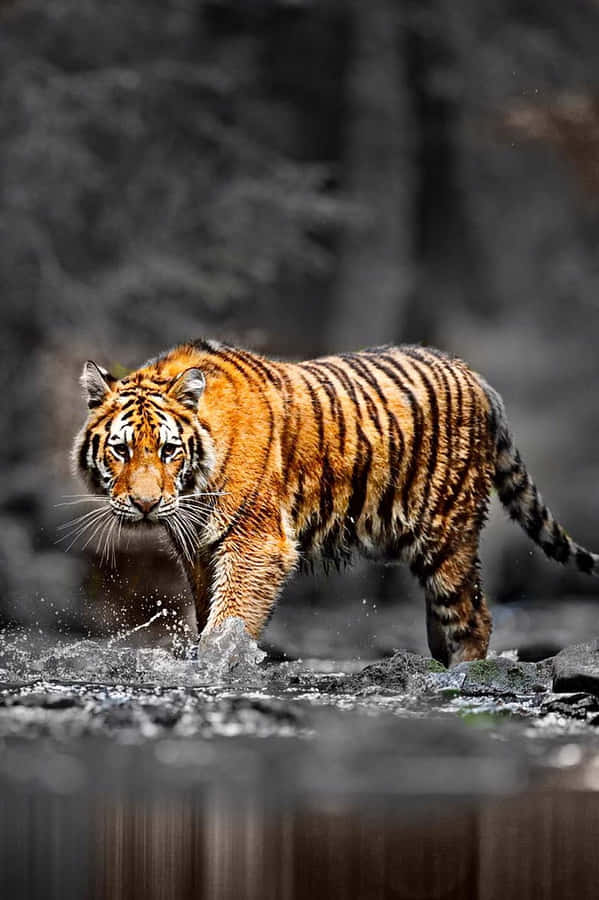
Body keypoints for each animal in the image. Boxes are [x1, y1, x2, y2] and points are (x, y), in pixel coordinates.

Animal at [72, 340, 599, 667]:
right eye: (121, 450)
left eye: (168, 450)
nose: (145, 504)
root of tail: (475, 377)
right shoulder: (198, 551)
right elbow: (208, 614)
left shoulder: (256, 543)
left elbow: (229, 621)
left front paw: (217, 665)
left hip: (448, 533)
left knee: (472, 618)